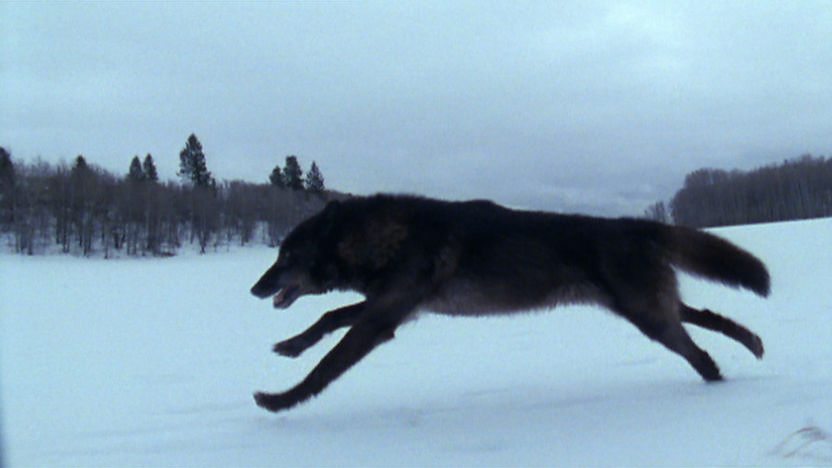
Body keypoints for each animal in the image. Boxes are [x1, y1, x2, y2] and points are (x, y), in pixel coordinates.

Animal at [250, 194, 769, 412]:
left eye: (287, 257)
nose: (255, 289)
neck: (381, 238)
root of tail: (637, 225)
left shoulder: (382, 318)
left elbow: (327, 366)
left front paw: (279, 401)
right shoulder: (390, 308)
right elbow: (329, 316)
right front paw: (291, 346)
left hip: (647, 315)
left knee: (699, 352)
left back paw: (723, 384)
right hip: (646, 308)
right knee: (704, 320)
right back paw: (752, 342)